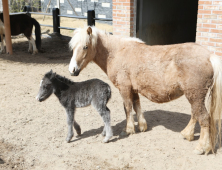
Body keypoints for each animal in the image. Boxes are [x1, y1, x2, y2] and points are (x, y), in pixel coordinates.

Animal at [68, 25, 222, 155]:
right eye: (73, 48)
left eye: (85, 46)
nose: (72, 70)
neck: (117, 52)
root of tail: (209, 56)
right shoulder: (134, 89)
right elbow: (137, 106)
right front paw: (142, 126)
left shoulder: (124, 88)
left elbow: (128, 108)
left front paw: (128, 129)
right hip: (194, 96)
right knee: (195, 114)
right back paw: (187, 134)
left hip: (195, 95)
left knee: (203, 118)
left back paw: (201, 147)